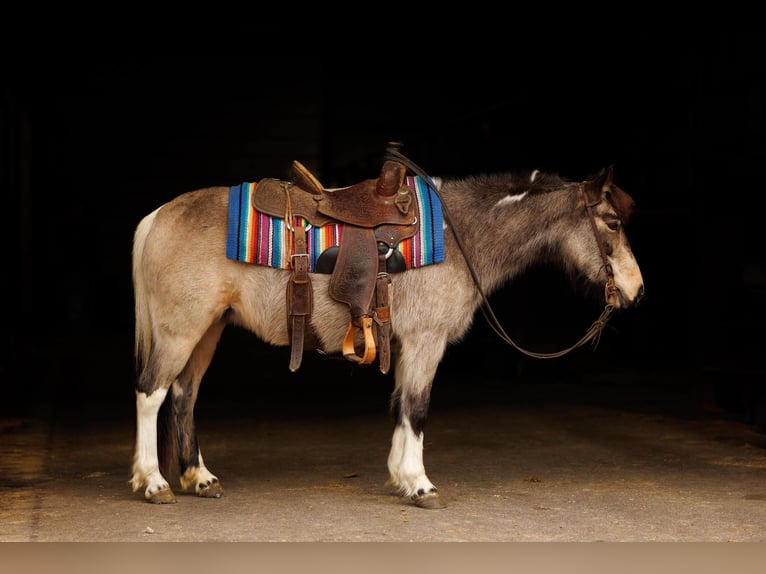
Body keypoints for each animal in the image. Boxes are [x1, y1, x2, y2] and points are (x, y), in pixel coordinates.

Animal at [129, 152, 644, 508]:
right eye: (612, 223)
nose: (637, 290)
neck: (458, 235)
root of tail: (158, 216)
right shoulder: (425, 341)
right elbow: (416, 408)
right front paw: (419, 484)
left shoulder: (405, 343)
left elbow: (400, 406)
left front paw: (400, 475)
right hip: (181, 330)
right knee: (152, 392)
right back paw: (153, 482)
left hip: (207, 330)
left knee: (184, 396)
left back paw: (199, 477)